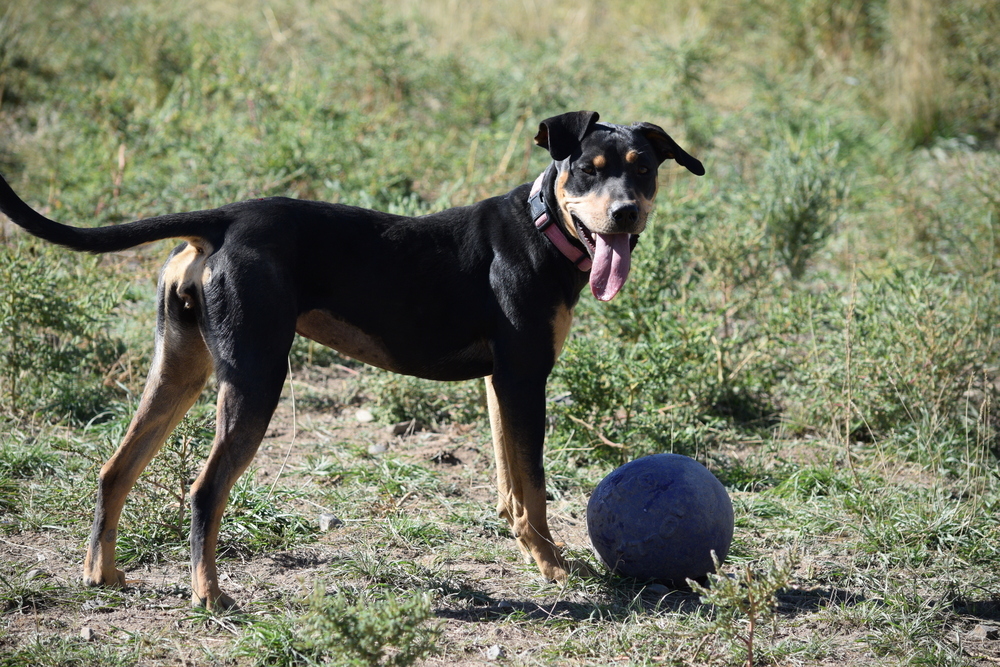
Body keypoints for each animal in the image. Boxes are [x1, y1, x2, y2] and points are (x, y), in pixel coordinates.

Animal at [0, 111, 704, 612]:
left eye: (643, 170)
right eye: (588, 168)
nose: (625, 212)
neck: (543, 227)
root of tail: (224, 222)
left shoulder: (501, 385)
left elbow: (511, 482)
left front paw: (528, 547)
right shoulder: (526, 379)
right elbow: (533, 485)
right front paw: (554, 567)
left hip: (180, 370)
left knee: (114, 469)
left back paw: (103, 575)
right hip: (256, 378)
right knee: (205, 490)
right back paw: (210, 594)